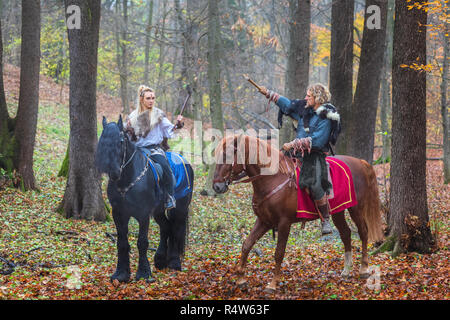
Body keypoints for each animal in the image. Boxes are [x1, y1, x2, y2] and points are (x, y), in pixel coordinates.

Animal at [95, 116, 193, 282]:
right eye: (103, 141)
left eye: (121, 141)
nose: (114, 172)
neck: (127, 179)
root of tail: (183, 159)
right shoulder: (118, 214)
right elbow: (122, 243)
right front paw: (121, 273)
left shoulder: (143, 214)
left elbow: (142, 242)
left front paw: (143, 273)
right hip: (158, 211)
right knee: (166, 227)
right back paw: (160, 260)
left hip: (180, 208)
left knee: (176, 228)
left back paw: (174, 262)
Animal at [213, 134, 382, 292]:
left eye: (227, 156)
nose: (217, 187)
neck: (273, 178)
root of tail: (360, 162)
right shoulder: (264, 221)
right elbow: (247, 245)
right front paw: (241, 280)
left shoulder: (284, 223)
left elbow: (279, 252)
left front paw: (272, 284)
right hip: (338, 211)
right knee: (346, 233)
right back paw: (346, 270)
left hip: (356, 208)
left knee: (363, 232)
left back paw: (364, 269)